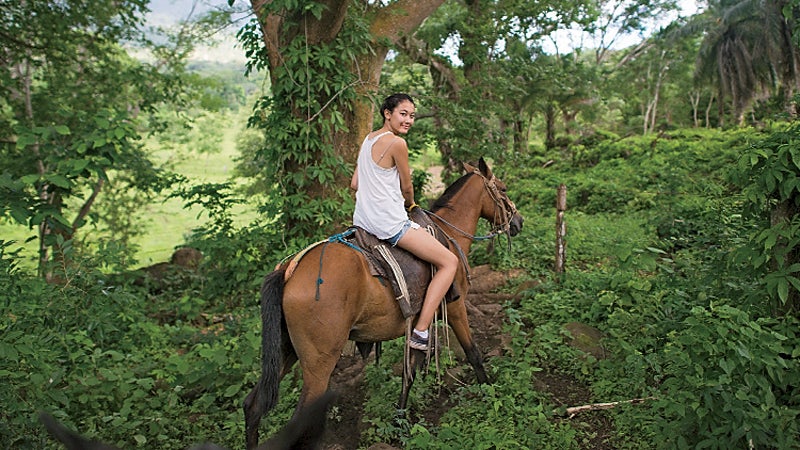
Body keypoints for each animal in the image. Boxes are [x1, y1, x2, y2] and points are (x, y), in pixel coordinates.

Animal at [244, 157, 524, 446]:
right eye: (503, 189)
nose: (518, 221)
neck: (448, 232)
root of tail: (289, 271)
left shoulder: (418, 323)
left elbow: (409, 372)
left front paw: (399, 423)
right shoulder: (455, 306)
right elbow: (473, 353)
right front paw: (490, 393)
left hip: (286, 350)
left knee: (253, 405)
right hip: (319, 362)